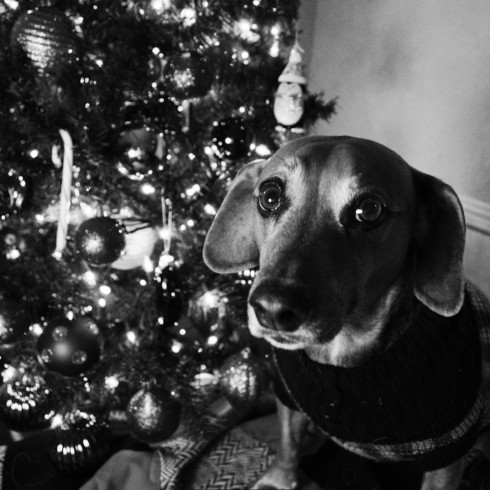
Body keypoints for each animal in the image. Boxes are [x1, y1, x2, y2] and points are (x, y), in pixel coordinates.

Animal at [202, 135, 490, 490]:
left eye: (369, 210)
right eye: (270, 196)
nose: (272, 308)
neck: (339, 355)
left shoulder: (448, 454)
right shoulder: (288, 397)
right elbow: (287, 442)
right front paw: (279, 478)